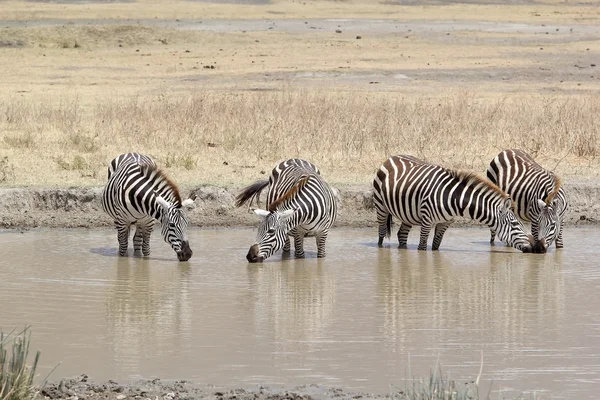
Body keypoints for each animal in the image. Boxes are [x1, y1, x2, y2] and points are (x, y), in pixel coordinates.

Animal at [372, 154, 536, 252]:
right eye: (515, 225)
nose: (534, 247)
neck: (453, 199)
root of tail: (391, 157)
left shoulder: (445, 222)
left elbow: (436, 246)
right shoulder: (427, 220)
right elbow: (422, 247)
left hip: (408, 214)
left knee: (401, 234)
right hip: (381, 207)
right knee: (381, 233)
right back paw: (380, 248)